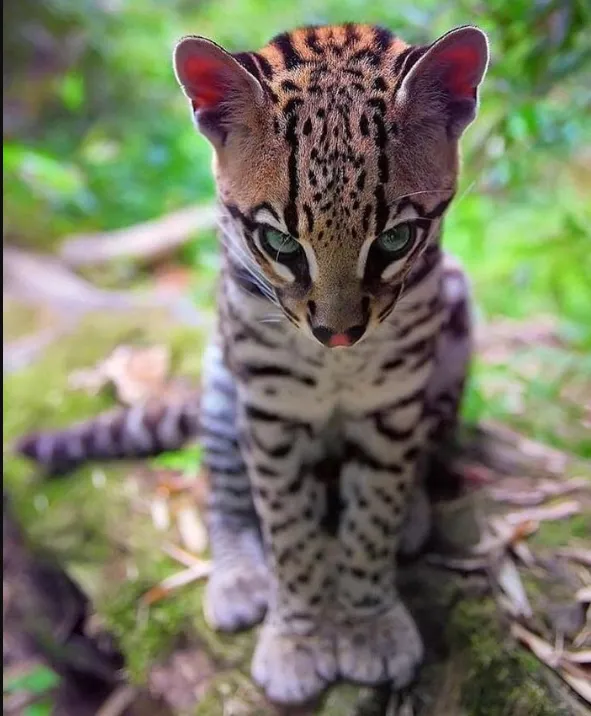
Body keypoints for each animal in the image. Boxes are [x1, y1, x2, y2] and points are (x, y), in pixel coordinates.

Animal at [17, 21, 490, 704]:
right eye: (280, 243)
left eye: (397, 240)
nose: (337, 334)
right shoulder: (268, 406)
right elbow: (288, 529)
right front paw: (297, 637)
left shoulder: (393, 401)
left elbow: (371, 516)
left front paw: (368, 618)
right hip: (222, 378)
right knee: (226, 489)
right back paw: (239, 574)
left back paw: (411, 512)